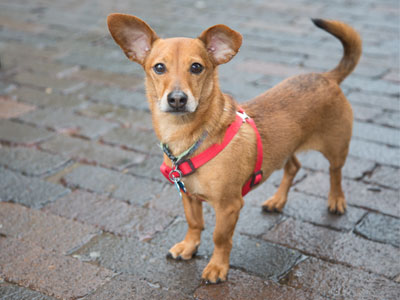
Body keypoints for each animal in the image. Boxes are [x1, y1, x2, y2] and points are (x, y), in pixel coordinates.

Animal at [107, 14, 362, 284]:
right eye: (158, 67)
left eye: (196, 67)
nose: (177, 99)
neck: (188, 137)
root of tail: (328, 76)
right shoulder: (188, 196)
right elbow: (194, 223)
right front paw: (189, 246)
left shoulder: (228, 206)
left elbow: (220, 237)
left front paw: (217, 267)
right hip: (287, 148)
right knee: (294, 166)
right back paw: (277, 201)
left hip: (336, 148)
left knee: (335, 173)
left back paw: (336, 201)